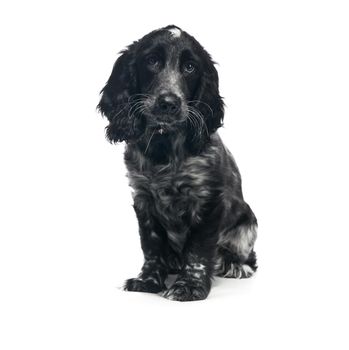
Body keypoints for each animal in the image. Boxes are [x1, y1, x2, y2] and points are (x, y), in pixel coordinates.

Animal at [96, 24, 256, 300]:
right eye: (151, 61)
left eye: (190, 67)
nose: (168, 103)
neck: (164, 147)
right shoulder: (143, 198)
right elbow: (151, 246)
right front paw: (148, 281)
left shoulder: (208, 199)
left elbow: (198, 248)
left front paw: (190, 286)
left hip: (248, 223)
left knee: (247, 256)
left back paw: (235, 266)